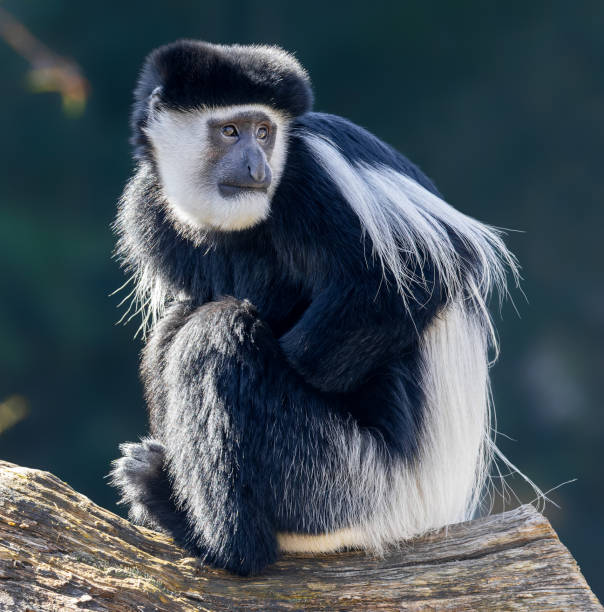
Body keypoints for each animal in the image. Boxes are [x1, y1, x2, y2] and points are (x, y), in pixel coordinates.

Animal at [111, 38, 520, 572]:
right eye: (229, 130)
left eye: (265, 132)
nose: (257, 169)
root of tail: (418, 513)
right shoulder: (148, 206)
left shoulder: (311, 174)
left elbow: (422, 272)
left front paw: (285, 356)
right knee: (179, 322)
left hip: (341, 481)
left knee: (213, 335)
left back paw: (217, 540)